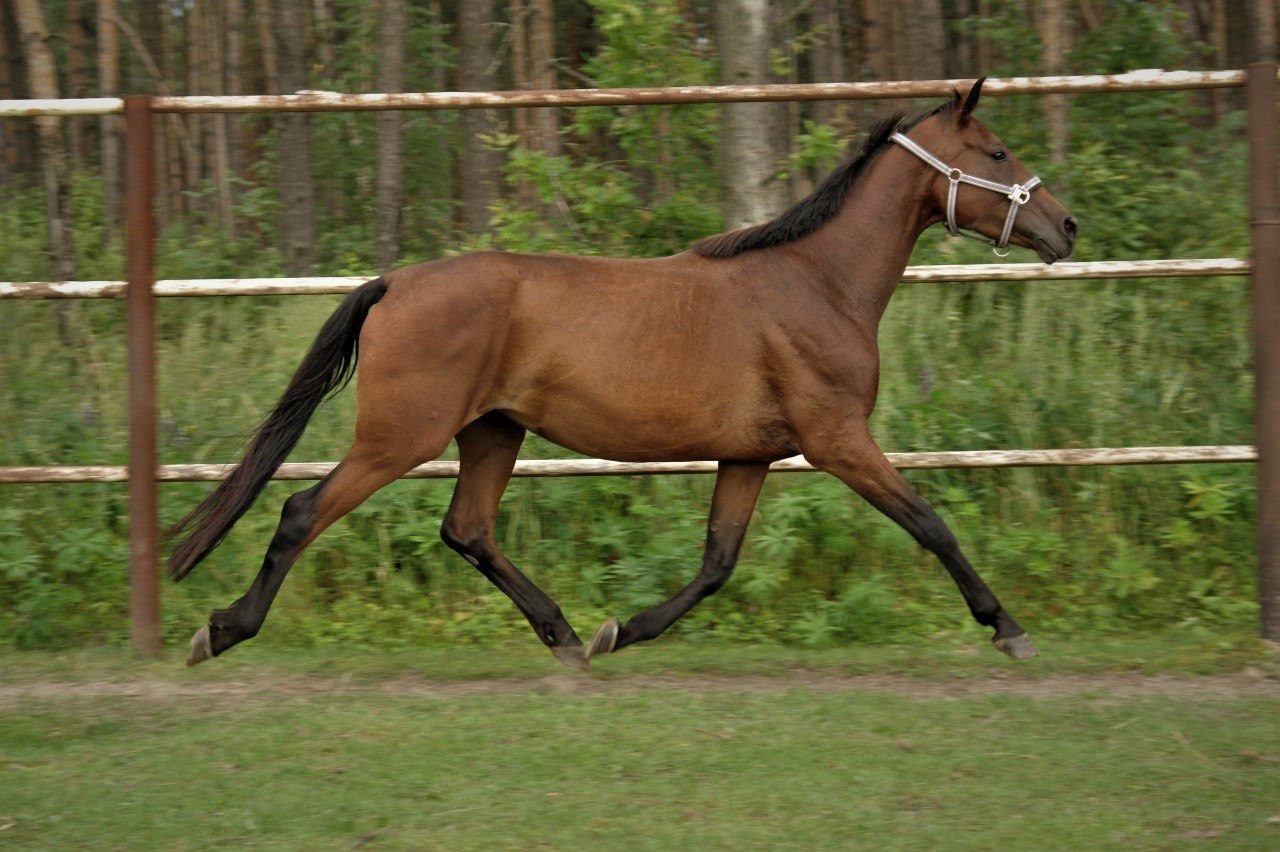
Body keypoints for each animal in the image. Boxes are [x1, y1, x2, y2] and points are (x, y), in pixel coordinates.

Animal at [167, 78, 1070, 665]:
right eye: (996, 149)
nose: (1065, 226)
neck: (818, 281)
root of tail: (395, 281)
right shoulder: (837, 439)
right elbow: (931, 524)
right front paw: (1008, 628)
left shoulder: (750, 454)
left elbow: (716, 564)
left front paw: (621, 630)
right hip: (402, 436)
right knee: (303, 511)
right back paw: (221, 630)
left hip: (492, 432)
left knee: (467, 530)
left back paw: (566, 637)